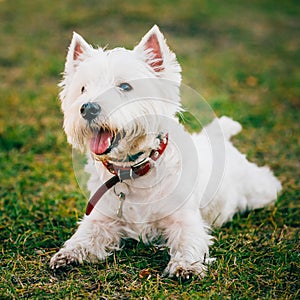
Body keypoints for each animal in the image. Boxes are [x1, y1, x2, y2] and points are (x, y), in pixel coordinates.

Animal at [49, 24, 282, 278]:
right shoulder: (101, 217)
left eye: (125, 86)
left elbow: (188, 240)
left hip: (256, 188)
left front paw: (185, 265)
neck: (134, 171)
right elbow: (84, 236)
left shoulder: (184, 218)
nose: (88, 108)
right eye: (83, 88)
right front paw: (68, 254)